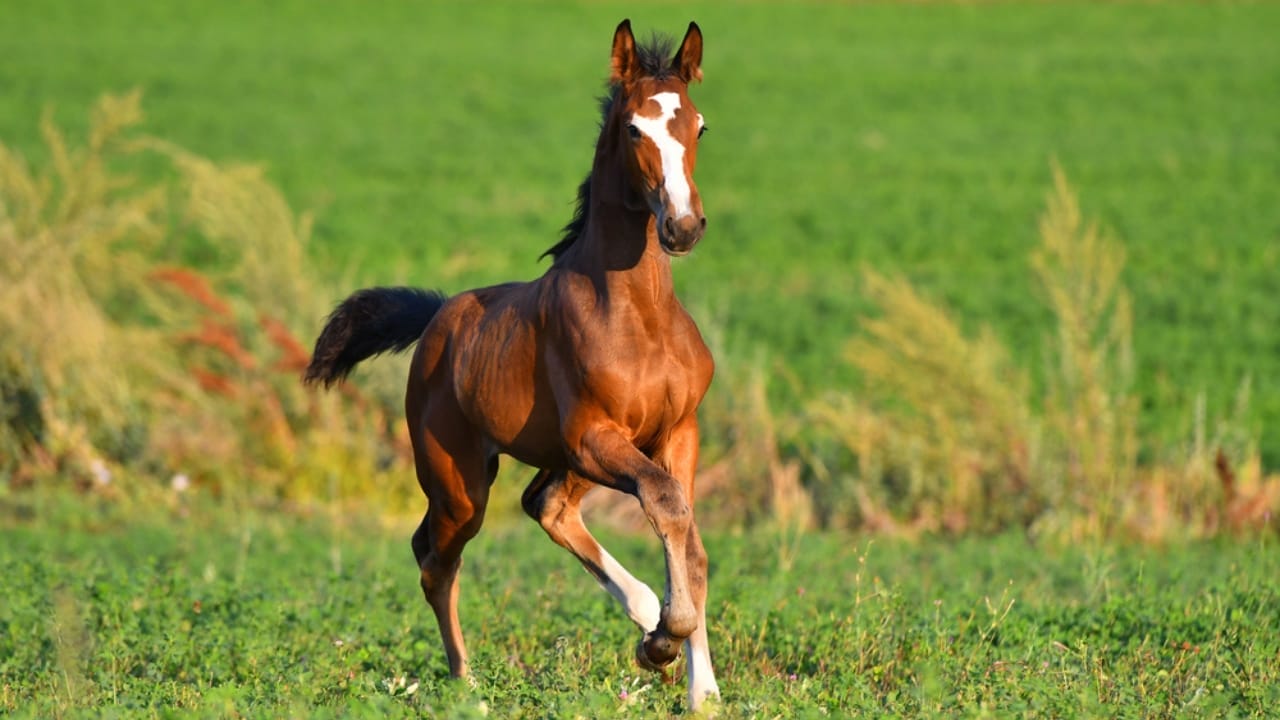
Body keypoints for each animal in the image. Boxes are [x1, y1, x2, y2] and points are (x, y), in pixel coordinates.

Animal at [304, 20, 720, 711]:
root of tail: (440, 316)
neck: (639, 315)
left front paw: (700, 688)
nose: (683, 227)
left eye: (699, 126)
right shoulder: (593, 436)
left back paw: (639, 611)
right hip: (462, 481)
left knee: (543, 504)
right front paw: (662, 643)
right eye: (635, 128)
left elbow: (686, 540)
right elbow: (667, 509)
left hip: (565, 458)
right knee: (435, 559)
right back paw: (466, 683)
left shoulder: (675, 432)